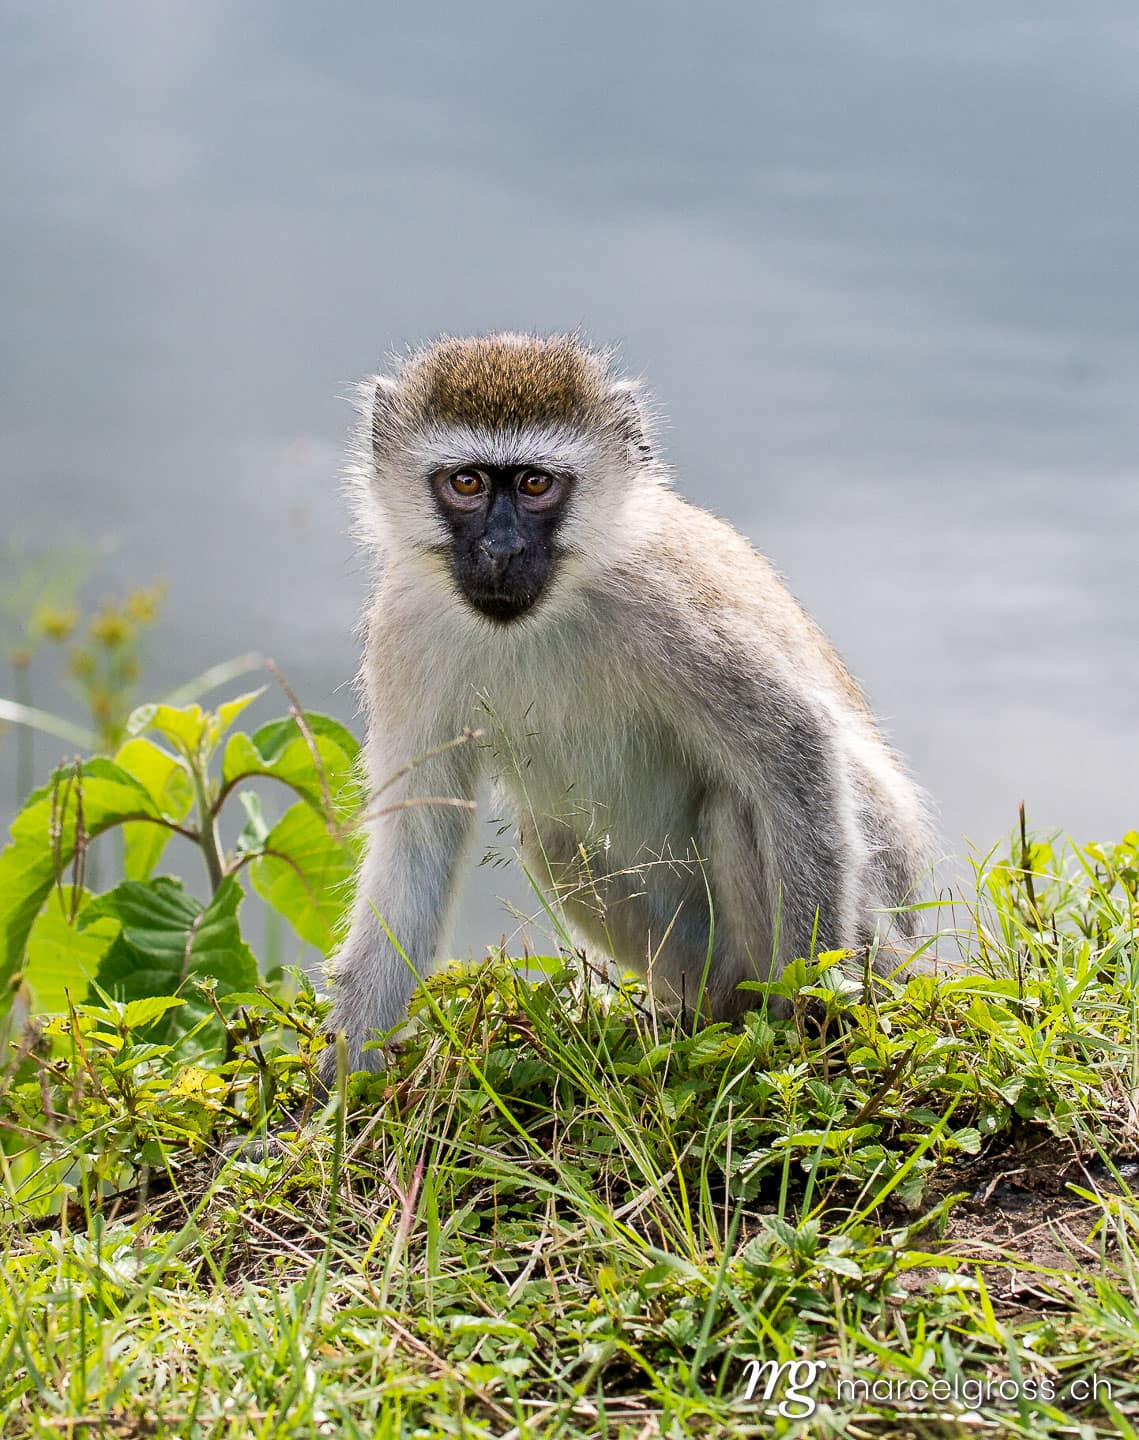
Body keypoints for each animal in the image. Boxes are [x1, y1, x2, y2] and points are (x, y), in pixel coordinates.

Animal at [325, 332, 934, 1076]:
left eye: (535, 484)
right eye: (466, 483)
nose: (501, 549)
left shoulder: (670, 602)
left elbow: (795, 747)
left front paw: (811, 1019)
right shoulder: (403, 632)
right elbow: (415, 842)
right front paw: (336, 1092)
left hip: (882, 934)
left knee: (740, 802)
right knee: (553, 841)